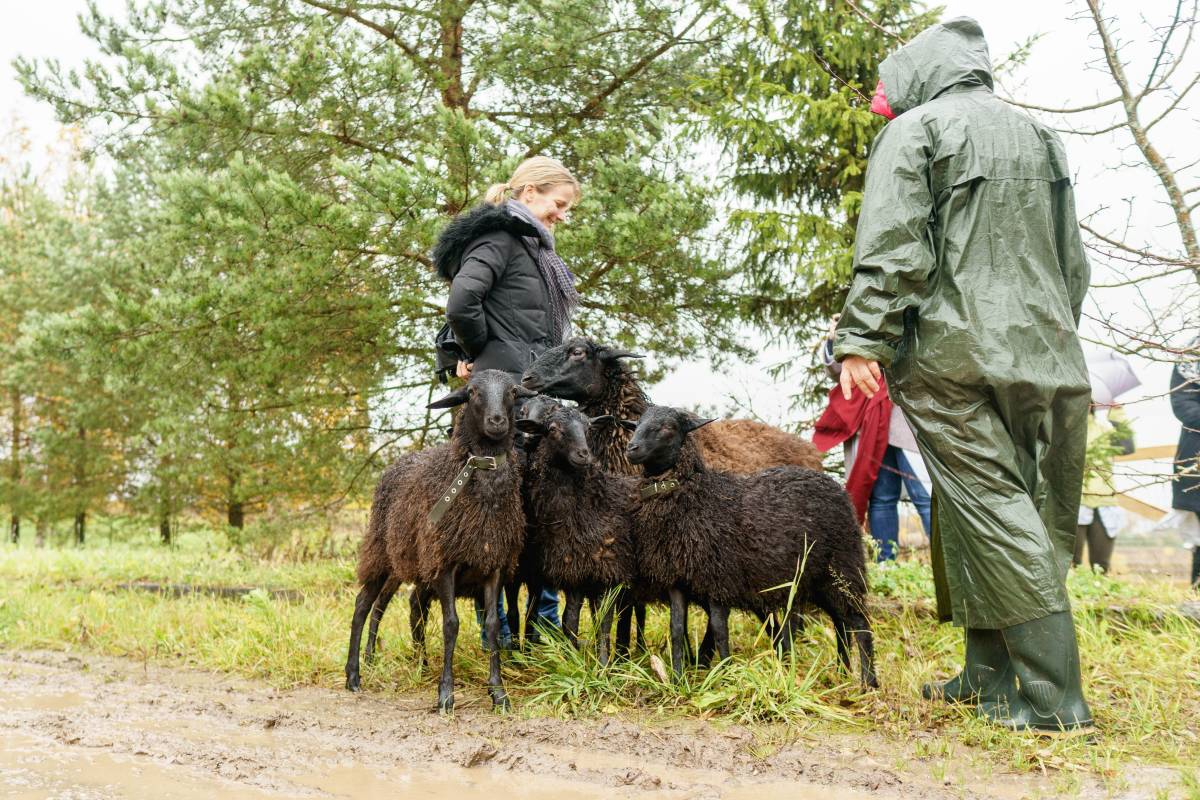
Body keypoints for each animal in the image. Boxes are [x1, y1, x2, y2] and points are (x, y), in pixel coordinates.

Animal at [348, 371, 535, 714]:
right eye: (472, 392)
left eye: (513, 392)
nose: (497, 421)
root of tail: (402, 460)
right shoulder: (446, 563)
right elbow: (451, 624)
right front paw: (446, 694)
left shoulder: (494, 564)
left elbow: (492, 625)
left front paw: (498, 693)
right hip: (381, 554)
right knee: (363, 605)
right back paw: (354, 675)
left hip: (412, 563)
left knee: (405, 607)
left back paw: (416, 664)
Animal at [624, 407, 878, 690]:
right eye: (637, 423)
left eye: (668, 428)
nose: (631, 448)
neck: (697, 496)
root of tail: (838, 488)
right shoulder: (677, 579)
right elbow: (677, 630)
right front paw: (678, 681)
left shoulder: (718, 577)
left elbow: (720, 631)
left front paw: (725, 675)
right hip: (820, 579)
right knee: (840, 623)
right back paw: (842, 673)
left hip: (844, 567)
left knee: (859, 622)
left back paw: (868, 683)